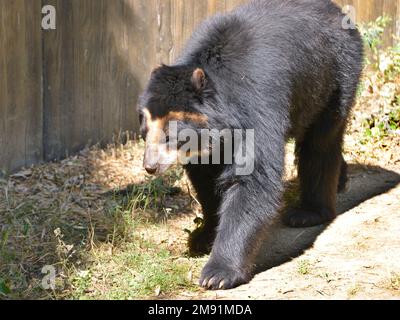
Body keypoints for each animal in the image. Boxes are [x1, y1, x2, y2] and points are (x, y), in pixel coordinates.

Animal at [136, 0, 364, 290]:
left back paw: (308, 212)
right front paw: (203, 236)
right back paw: (340, 180)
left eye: (169, 134)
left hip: (333, 77)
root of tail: (337, 12)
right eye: (145, 130)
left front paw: (217, 274)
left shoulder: (257, 101)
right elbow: (206, 181)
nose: (150, 167)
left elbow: (253, 179)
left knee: (320, 143)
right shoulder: (209, 146)